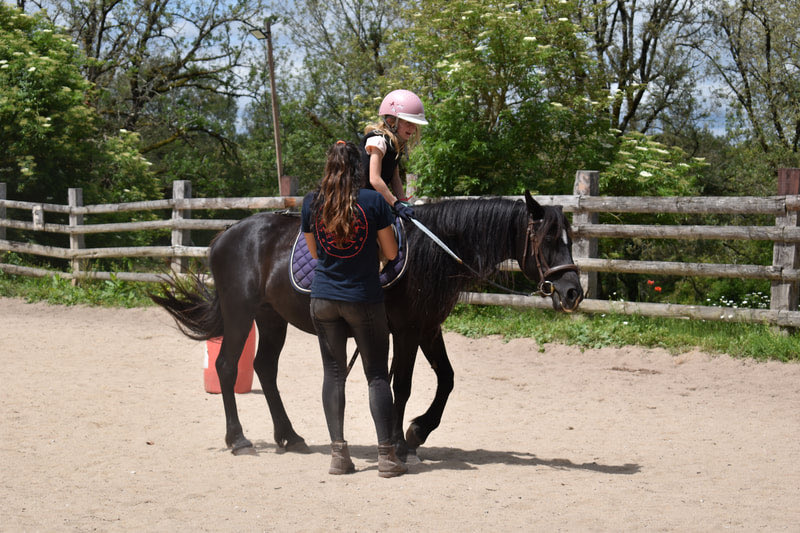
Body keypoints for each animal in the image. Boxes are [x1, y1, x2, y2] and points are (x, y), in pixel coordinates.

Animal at [151, 191, 584, 460]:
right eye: (547, 240)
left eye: (569, 239)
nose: (573, 292)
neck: (434, 250)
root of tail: (226, 235)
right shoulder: (407, 331)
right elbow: (402, 385)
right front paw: (402, 441)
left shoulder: (428, 328)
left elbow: (446, 379)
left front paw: (416, 431)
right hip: (241, 314)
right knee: (227, 367)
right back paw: (239, 439)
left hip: (271, 318)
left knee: (265, 369)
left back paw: (290, 436)